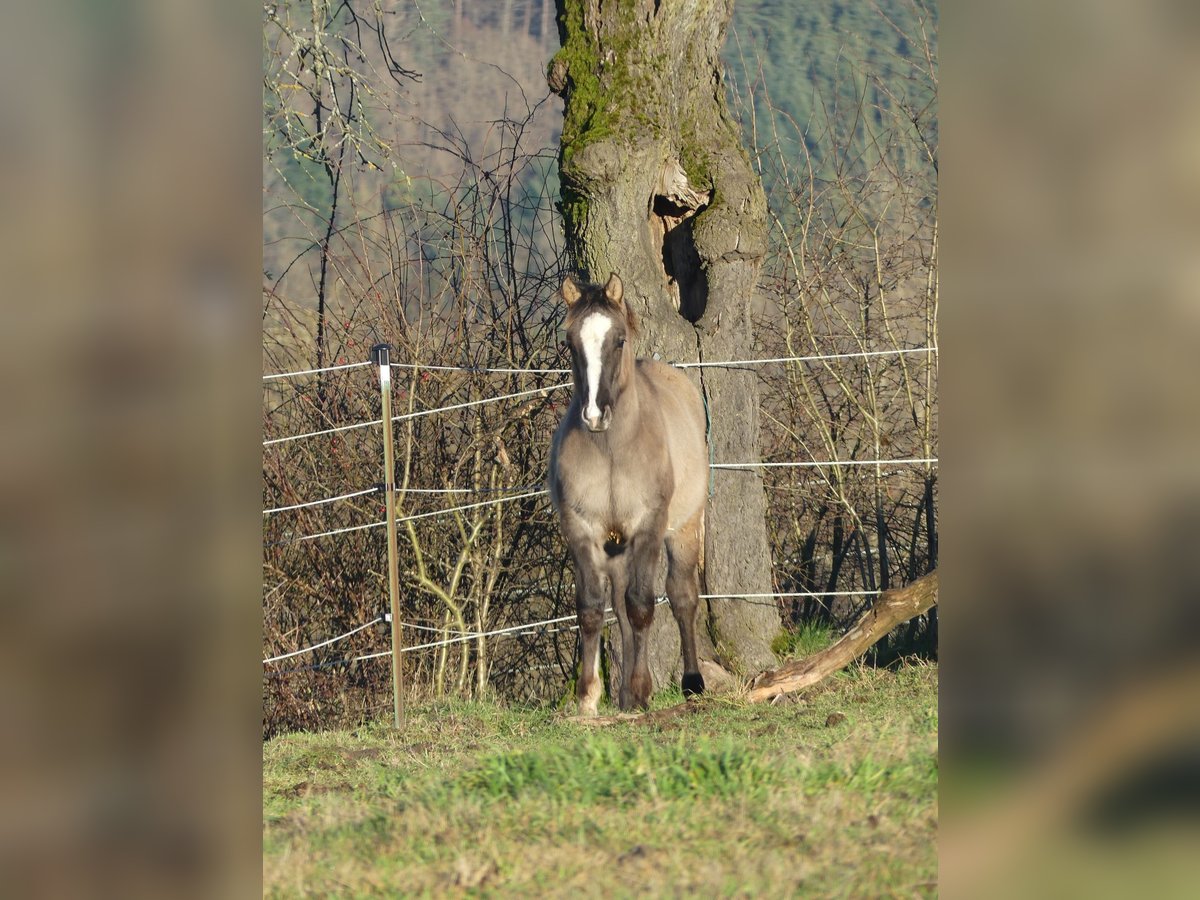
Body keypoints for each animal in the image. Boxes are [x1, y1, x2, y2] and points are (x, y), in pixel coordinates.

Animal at [549, 271, 705, 715]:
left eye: (618, 340)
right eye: (570, 342)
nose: (594, 415)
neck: (613, 450)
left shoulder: (647, 528)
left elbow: (642, 606)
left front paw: (640, 690)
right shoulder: (582, 530)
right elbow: (591, 608)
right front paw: (589, 696)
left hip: (684, 529)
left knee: (682, 596)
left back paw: (692, 682)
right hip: (616, 546)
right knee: (616, 603)